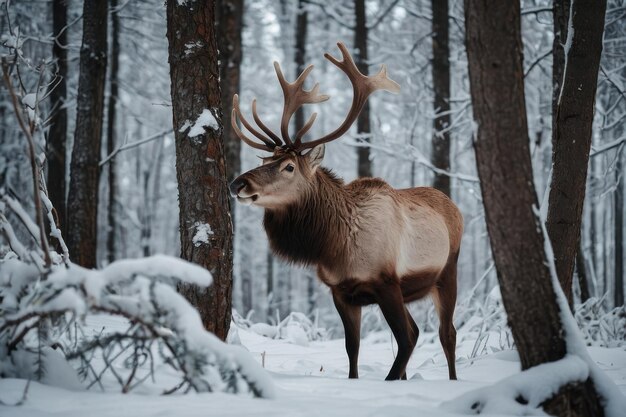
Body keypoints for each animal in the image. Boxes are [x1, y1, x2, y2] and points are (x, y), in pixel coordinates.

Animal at [229, 42, 464, 380]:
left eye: (288, 166)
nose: (238, 183)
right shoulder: (341, 292)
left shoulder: (385, 282)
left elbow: (405, 341)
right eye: (265, 161)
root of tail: (454, 207)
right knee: (421, 330)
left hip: (447, 272)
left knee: (446, 333)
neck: (335, 246)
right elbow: (352, 348)